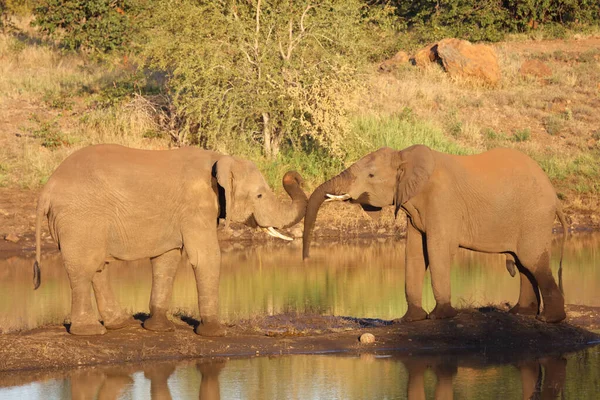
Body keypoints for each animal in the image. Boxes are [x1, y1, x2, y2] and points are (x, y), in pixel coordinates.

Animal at [33, 144, 308, 334]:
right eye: (259, 195)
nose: (295, 176)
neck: (219, 158)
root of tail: (47, 189)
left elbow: (167, 260)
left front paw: (158, 328)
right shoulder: (196, 206)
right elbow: (206, 257)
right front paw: (215, 333)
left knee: (99, 266)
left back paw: (119, 324)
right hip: (80, 218)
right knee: (84, 267)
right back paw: (90, 331)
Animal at [304, 145, 568, 324]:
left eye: (370, 176)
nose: (306, 259)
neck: (405, 156)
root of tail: (555, 196)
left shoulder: (443, 201)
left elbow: (436, 249)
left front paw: (440, 316)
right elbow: (414, 253)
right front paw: (410, 320)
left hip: (534, 216)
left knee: (531, 260)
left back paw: (549, 319)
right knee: (524, 263)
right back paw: (521, 313)